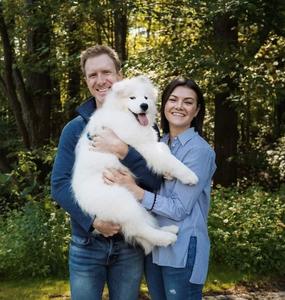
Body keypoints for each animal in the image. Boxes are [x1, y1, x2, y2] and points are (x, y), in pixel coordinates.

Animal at [70, 75, 197, 253]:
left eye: (145, 97)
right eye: (132, 98)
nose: (144, 106)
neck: (124, 117)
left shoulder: (150, 142)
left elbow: (164, 148)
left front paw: (168, 174)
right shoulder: (142, 146)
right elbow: (168, 159)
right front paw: (189, 176)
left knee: (140, 224)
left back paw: (168, 230)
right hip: (122, 200)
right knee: (138, 228)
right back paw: (166, 238)